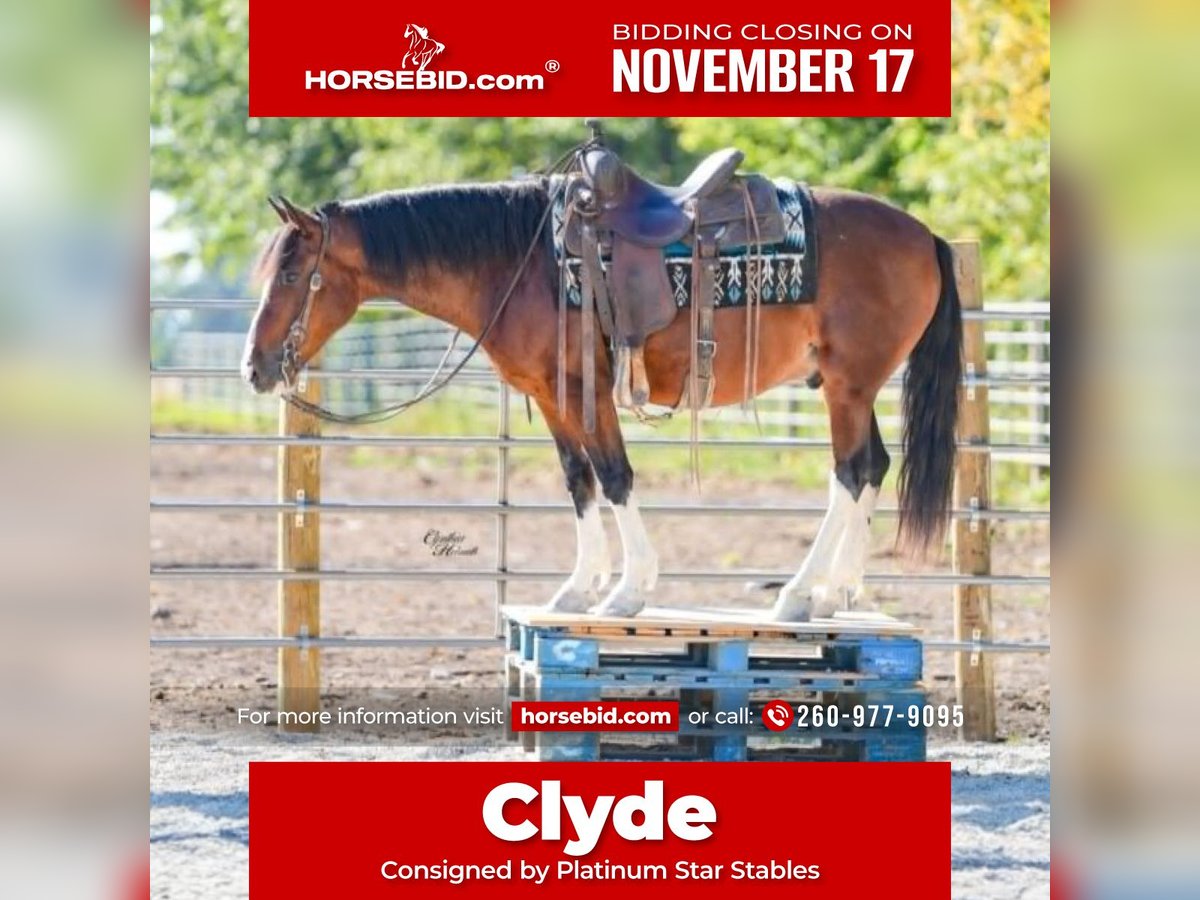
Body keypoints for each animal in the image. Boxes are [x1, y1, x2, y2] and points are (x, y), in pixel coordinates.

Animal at [242, 175, 961, 622]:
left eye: (291, 273)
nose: (254, 367)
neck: (518, 262)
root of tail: (926, 235)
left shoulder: (586, 389)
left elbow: (615, 476)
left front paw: (627, 592)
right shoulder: (552, 395)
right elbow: (579, 480)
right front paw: (577, 589)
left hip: (849, 386)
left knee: (851, 471)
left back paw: (802, 595)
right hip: (853, 389)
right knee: (873, 468)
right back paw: (837, 593)